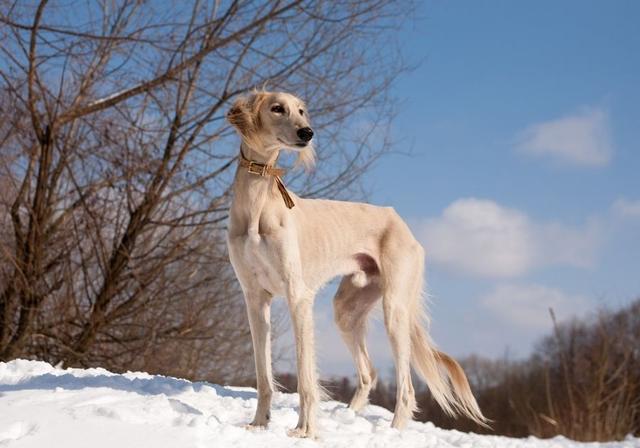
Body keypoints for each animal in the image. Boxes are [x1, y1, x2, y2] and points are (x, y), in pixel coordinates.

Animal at [225, 90, 484, 438]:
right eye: (277, 108)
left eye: (301, 111)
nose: (307, 133)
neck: (258, 203)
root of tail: (401, 223)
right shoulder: (255, 299)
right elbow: (263, 374)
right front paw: (258, 424)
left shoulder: (297, 296)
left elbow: (306, 375)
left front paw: (305, 430)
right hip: (347, 310)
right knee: (369, 372)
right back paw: (350, 416)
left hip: (395, 310)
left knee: (406, 388)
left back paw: (393, 432)